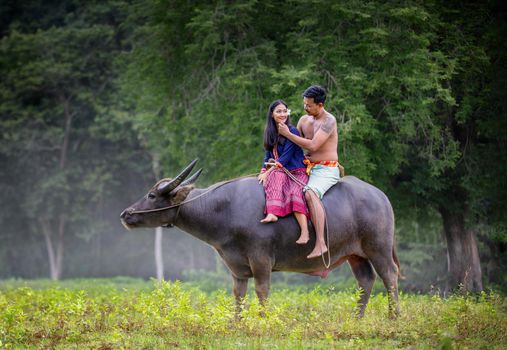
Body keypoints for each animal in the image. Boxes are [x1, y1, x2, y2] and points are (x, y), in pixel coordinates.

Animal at [122, 160, 400, 318]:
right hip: (356, 255)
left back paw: (393, 316)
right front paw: (237, 322)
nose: (126, 214)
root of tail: (381, 196)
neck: (225, 208)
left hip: (379, 248)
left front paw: (262, 320)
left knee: (389, 276)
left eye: (152, 195)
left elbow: (262, 291)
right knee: (365, 281)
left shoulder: (261, 258)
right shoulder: (237, 266)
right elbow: (239, 294)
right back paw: (357, 317)